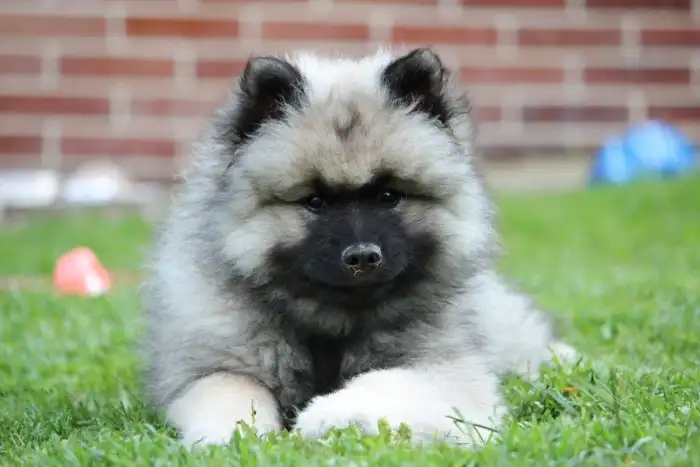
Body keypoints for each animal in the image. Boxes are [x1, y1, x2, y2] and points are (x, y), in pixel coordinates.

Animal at [140, 47, 577, 448]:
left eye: (388, 196)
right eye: (315, 201)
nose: (363, 256)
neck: (332, 326)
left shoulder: (448, 371)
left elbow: (383, 383)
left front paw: (329, 416)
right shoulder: (207, 368)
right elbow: (230, 392)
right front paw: (237, 436)